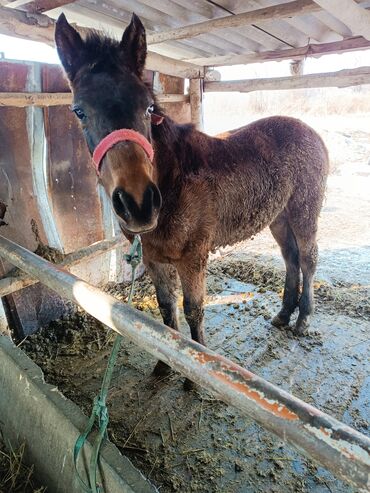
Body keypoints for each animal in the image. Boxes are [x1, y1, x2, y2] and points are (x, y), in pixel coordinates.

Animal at [54, 12, 326, 368]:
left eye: (148, 108)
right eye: (79, 111)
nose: (138, 204)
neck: (173, 180)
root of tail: (312, 133)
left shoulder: (193, 258)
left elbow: (193, 310)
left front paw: (193, 371)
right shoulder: (153, 259)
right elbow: (166, 309)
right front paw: (164, 362)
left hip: (304, 210)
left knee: (308, 259)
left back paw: (304, 319)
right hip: (278, 217)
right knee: (290, 258)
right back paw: (283, 314)